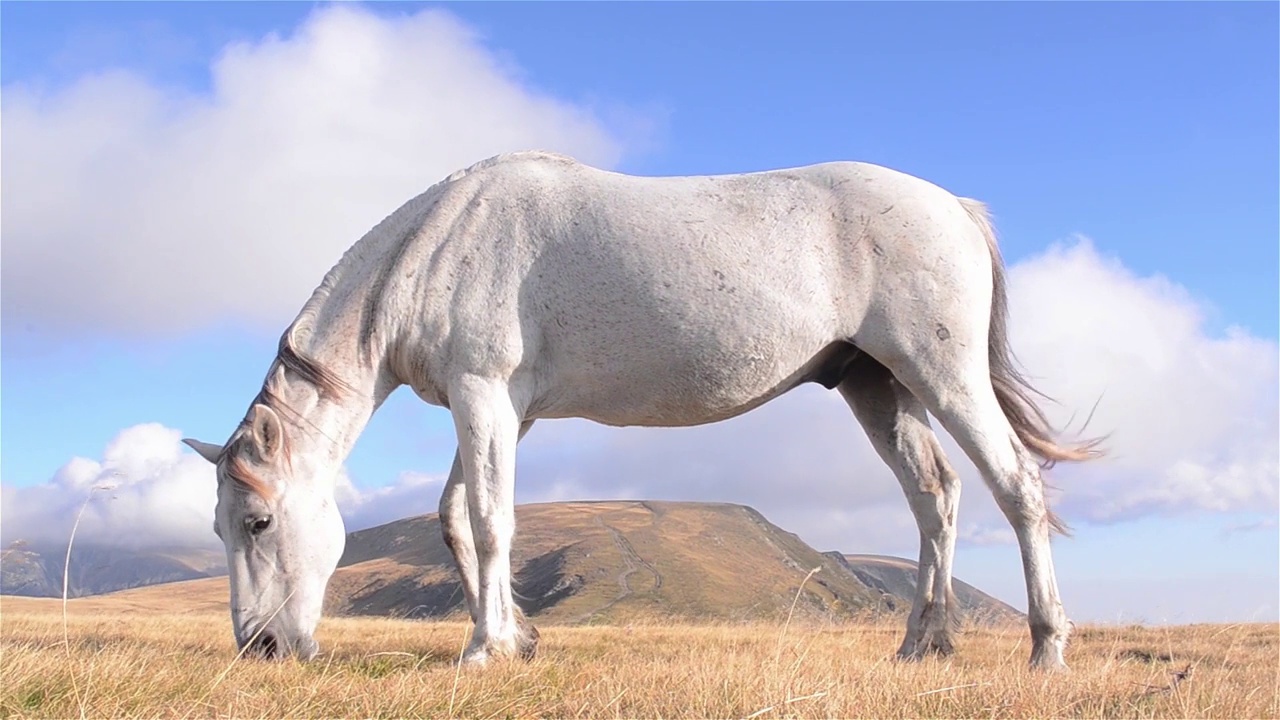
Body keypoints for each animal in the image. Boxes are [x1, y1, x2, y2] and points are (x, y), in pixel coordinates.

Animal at [183, 149, 1100, 666]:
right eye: (222, 528)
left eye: (258, 523)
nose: (261, 650)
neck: (434, 249)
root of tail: (955, 208)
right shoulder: (506, 409)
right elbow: (456, 518)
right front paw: (519, 639)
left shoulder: (483, 394)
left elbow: (487, 519)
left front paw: (482, 650)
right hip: (878, 386)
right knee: (934, 497)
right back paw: (922, 643)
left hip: (943, 375)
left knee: (1016, 487)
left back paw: (1046, 649)